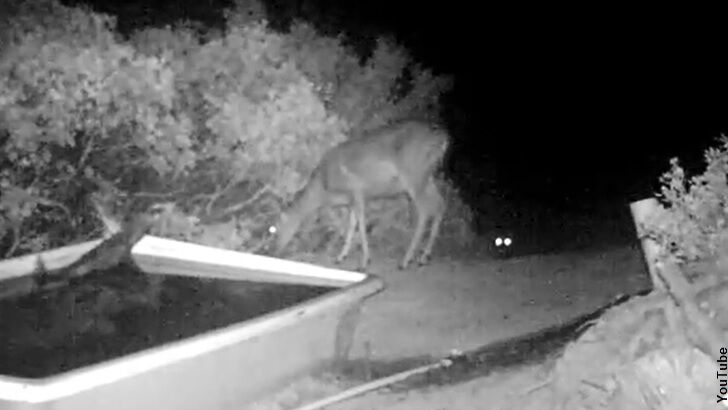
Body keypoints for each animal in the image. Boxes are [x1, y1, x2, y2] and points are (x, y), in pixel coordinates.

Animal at [268, 120, 450, 270]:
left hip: (414, 175)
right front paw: (340, 257)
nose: (274, 250)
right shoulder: (351, 201)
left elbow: (360, 225)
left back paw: (405, 261)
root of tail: (443, 139)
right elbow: (351, 224)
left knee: (425, 211)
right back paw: (424, 257)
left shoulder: (357, 190)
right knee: (440, 204)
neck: (324, 189)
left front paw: (364, 262)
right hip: (428, 177)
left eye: (274, 228)